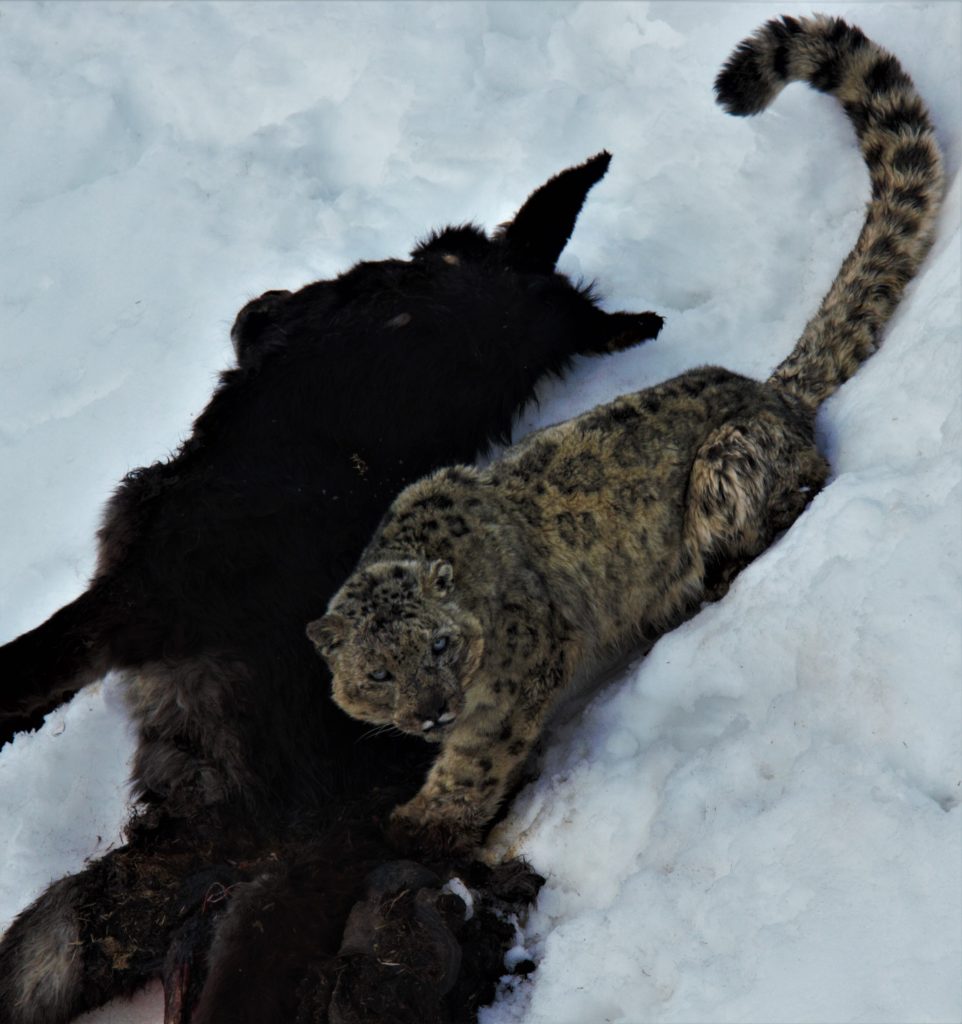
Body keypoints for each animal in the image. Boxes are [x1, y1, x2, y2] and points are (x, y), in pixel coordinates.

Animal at [308, 14, 944, 857]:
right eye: (378, 673)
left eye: (439, 645)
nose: (432, 709)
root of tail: (768, 390)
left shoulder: (521, 667)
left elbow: (481, 752)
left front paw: (428, 818)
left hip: (727, 465)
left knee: (794, 494)